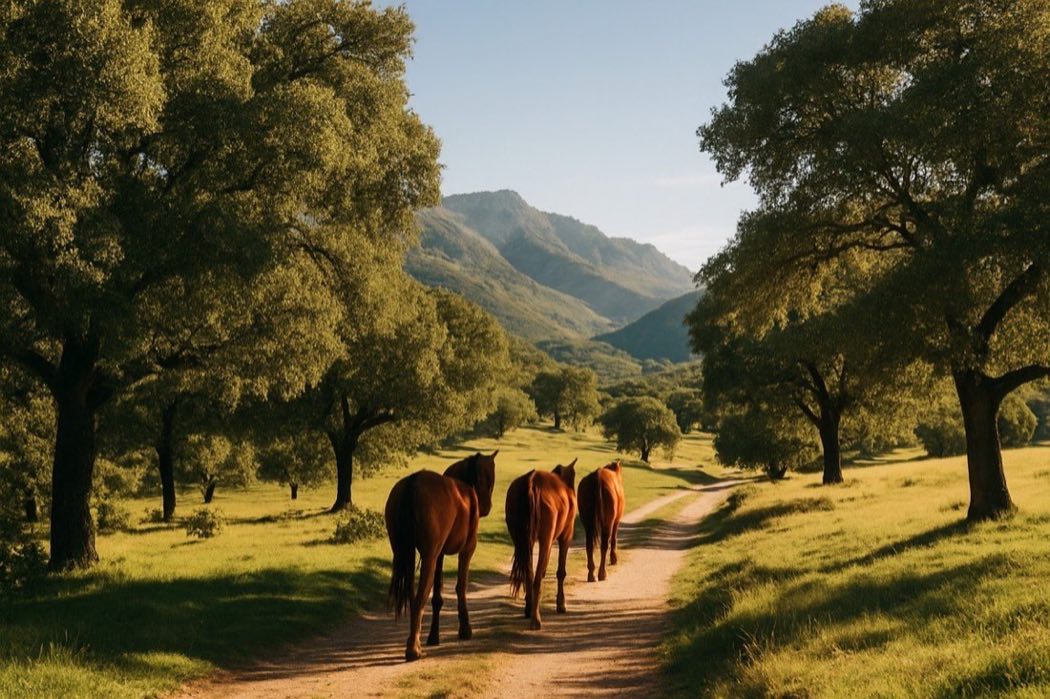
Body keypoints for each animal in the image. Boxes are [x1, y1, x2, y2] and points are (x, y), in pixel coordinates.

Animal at [385, 450, 498, 662]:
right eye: (489, 477)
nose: (487, 507)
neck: (464, 493)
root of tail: (414, 480)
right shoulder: (467, 549)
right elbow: (461, 586)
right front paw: (465, 628)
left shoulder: (440, 555)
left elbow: (437, 596)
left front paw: (433, 635)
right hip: (429, 557)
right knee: (420, 598)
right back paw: (413, 649)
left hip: (408, 554)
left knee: (413, 597)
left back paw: (415, 642)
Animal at [505, 459, 577, 630]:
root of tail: (531, 481)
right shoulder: (565, 536)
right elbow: (560, 572)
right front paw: (561, 604)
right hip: (545, 539)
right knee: (537, 578)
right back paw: (535, 619)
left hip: (522, 539)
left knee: (529, 574)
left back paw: (529, 609)